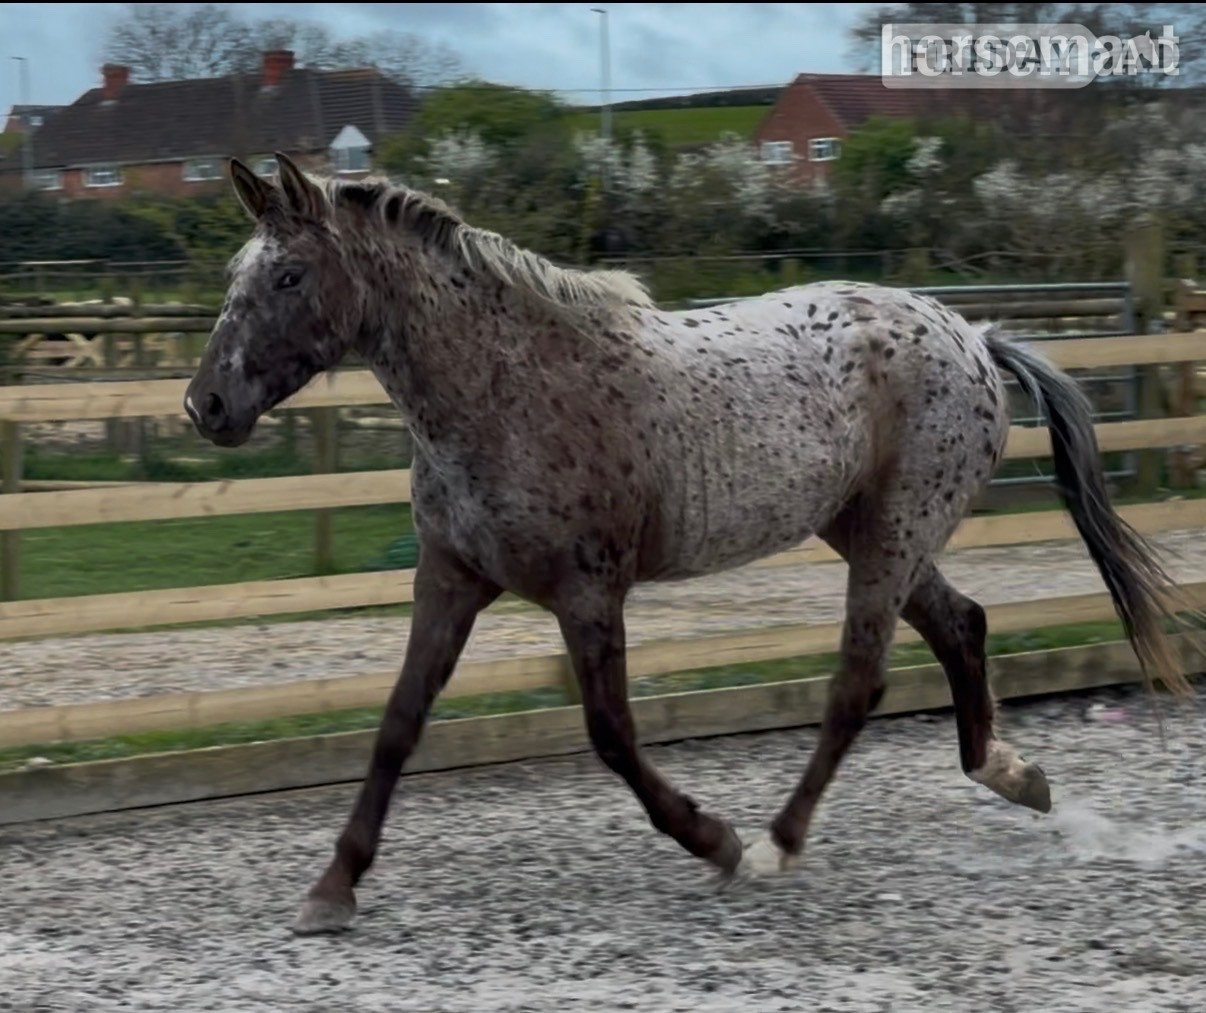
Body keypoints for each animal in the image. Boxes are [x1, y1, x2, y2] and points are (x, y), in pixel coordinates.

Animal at [183, 151, 1197, 936]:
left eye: (287, 277)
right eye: (236, 274)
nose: (206, 405)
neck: (504, 390)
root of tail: (976, 337)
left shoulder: (590, 590)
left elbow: (613, 734)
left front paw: (717, 840)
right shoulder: (452, 576)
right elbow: (397, 724)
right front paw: (331, 888)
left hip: (894, 533)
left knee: (858, 681)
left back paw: (780, 842)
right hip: (871, 531)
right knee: (965, 625)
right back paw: (1014, 775)